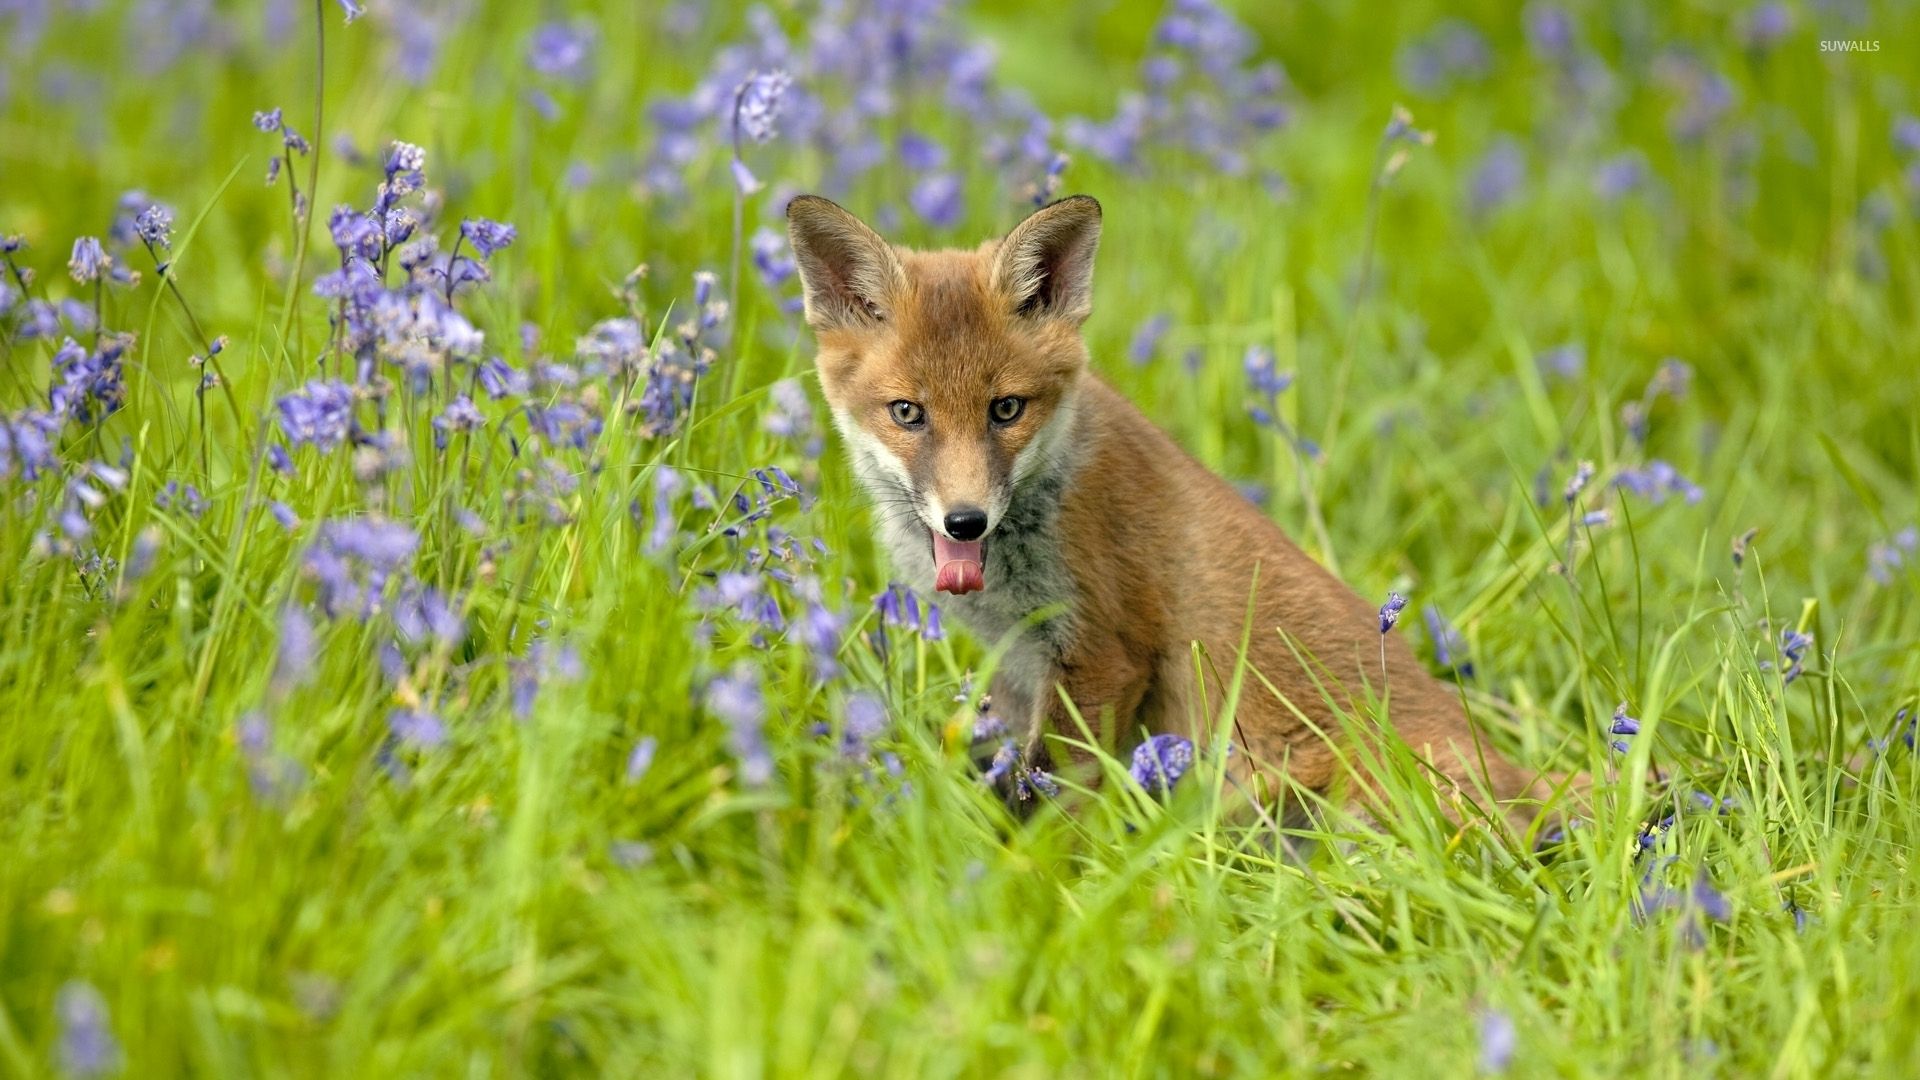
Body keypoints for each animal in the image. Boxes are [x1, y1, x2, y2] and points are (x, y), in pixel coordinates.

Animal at [785, 192, 1559, 832]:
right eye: (908, 414)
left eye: (1005, 409)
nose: (965, 522)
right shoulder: (1016, 664)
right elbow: (1011, 771)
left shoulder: (1103, 654)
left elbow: (1050, 798)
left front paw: (1034, 874)